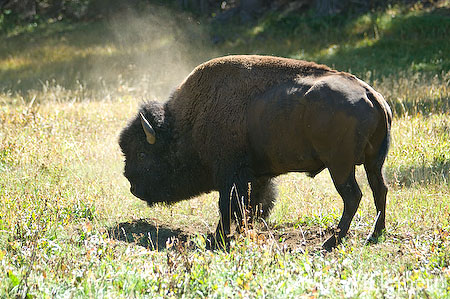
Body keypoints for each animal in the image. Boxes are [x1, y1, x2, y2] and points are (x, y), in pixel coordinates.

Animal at [118, 54, 390, 251]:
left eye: (141, 154)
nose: (131, 185)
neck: (187, 123)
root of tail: (371, 94)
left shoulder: (231, 176)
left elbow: (229, 205)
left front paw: (218, 239)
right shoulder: (256, 176)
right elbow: (254, 204)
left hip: (340, 166)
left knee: (353, 196)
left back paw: (331, 242)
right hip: (373, 162)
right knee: (380, 190)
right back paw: (375, 234)